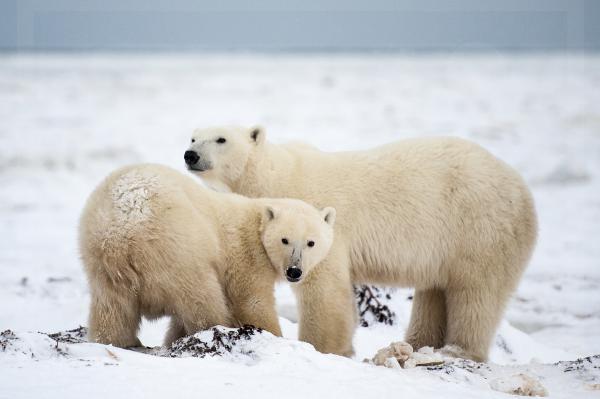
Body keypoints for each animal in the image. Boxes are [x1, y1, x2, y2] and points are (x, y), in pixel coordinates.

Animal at [185, 127, 536, 362]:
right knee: (436, 290)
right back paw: (420, 343)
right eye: (193, 137)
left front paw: (325, 348)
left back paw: (458, 349)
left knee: (477, 291)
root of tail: (523, 191)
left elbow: (324, 289)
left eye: (221, 139)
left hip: (480, 228)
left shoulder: (321, 223)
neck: (276, 177)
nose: (190, 155)